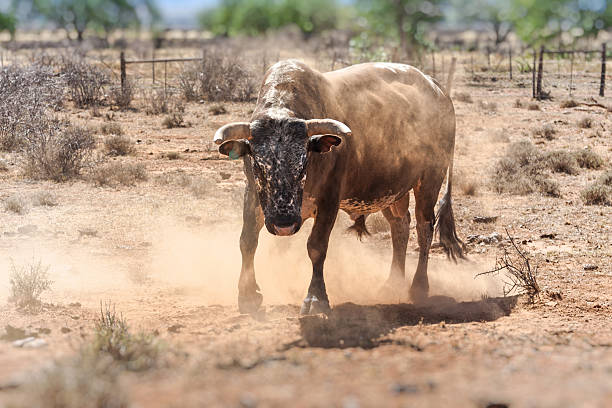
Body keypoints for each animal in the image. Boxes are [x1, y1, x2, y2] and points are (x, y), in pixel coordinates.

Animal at [215, 61, 464, 316]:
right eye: (258, 165)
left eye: (303, 164)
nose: (284, 225)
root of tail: (437, 88)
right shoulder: (253, 196)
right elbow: (247, 241)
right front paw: (247, 294)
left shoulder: (329, 199)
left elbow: (316, 246)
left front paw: (316, 299)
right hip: (393, 192)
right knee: (400, 226)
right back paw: (392, 283)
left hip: (429, 181)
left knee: (425, 228)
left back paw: (418, 287)